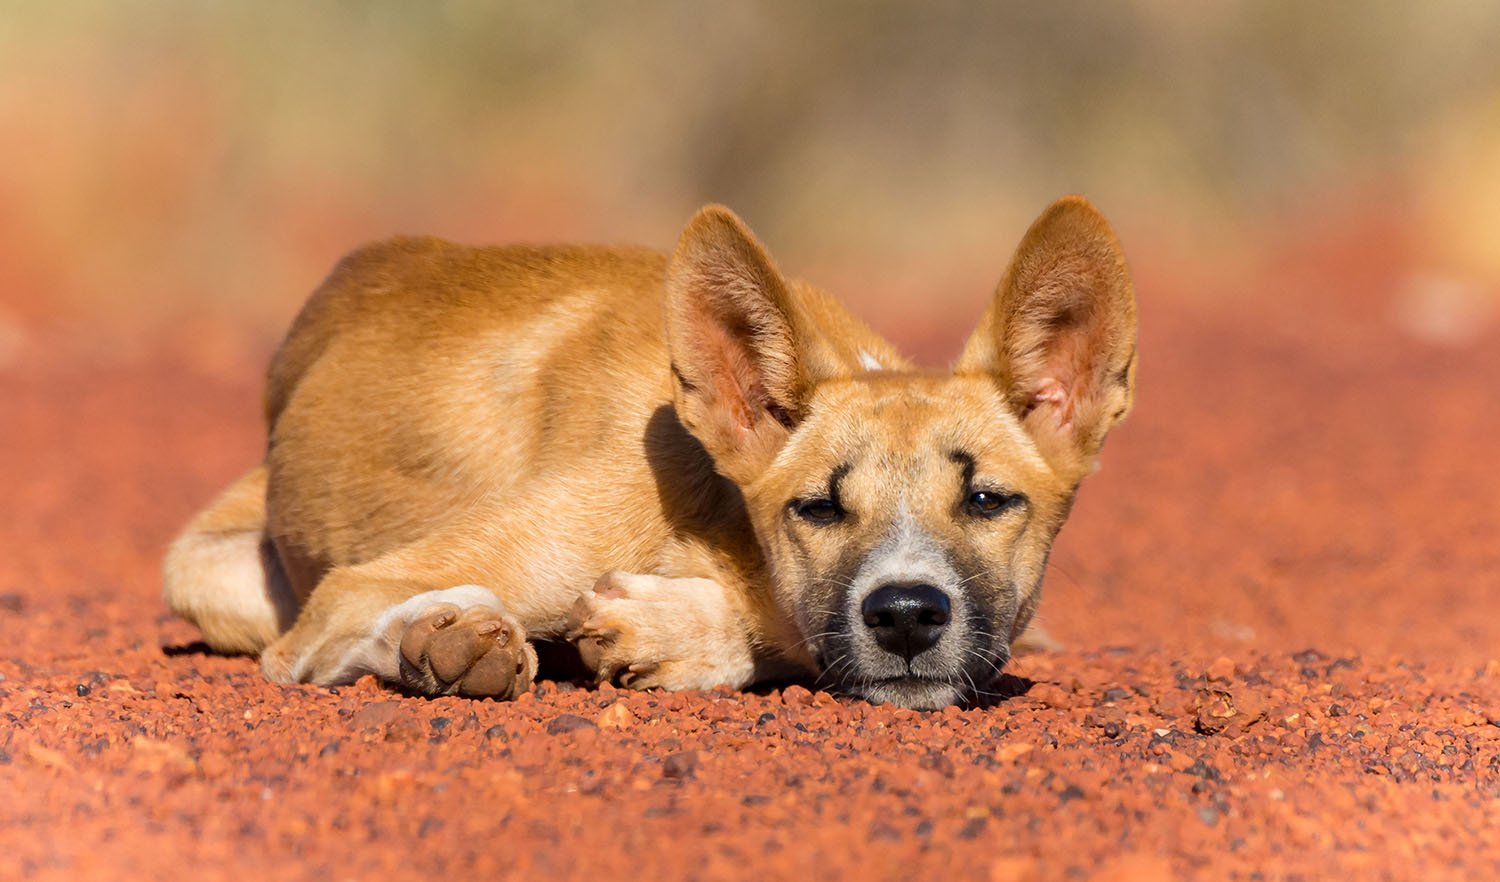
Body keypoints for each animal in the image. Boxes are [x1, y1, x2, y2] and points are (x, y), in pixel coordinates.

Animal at [164, 195, 1134, 711]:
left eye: (987, 501)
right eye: (818, 507)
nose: (905, 615)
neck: (716, 519)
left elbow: (786, 632)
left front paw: (674, 631)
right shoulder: (346, 595)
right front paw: (447, 637)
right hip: (207, 570)